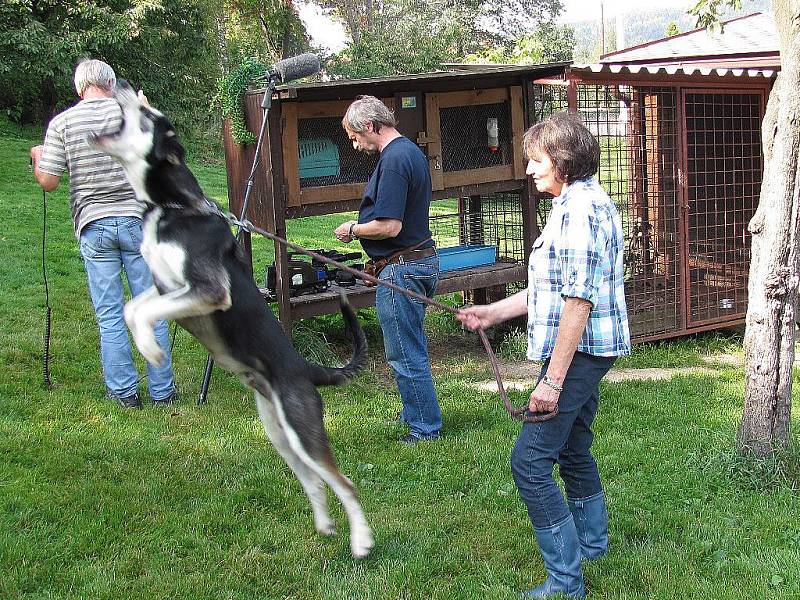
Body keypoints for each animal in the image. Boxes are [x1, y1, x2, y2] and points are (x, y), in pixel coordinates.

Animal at [87, 79, 376, 556]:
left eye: (147, 115)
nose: (124, 83)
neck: (172, 207)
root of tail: (306, 368)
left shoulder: (208, 291)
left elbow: (143, 313)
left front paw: (151, 351)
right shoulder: (167, 288)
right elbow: (133, 308)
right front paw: (149, 347)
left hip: (302, 429)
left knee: (345, 483)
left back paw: (361, 541)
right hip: (280, 435)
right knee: (314, 482)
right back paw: (324, 525)